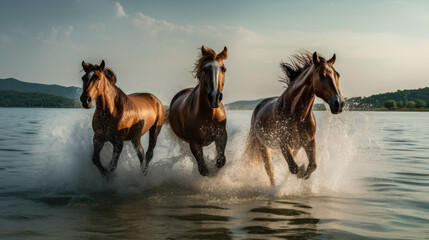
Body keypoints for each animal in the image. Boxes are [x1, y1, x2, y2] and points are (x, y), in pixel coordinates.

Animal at [166, 45, 227, 176]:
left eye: (223, 69)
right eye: (204, 69)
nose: (214, 97)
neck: (209, 116)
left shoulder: (221, 136)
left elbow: (221, 161)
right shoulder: (194, 143)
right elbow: (203, 168)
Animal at [246, 50, 342, 186]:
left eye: (337, 75)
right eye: (322, 75)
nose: (339, 103)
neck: (297, 114)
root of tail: (259, 107)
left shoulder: (308, 142)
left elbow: (313, 165)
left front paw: (303, 173)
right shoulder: (283, 143)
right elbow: (294, 168)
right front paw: (300, 171)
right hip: (262, 145)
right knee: (269, 168)